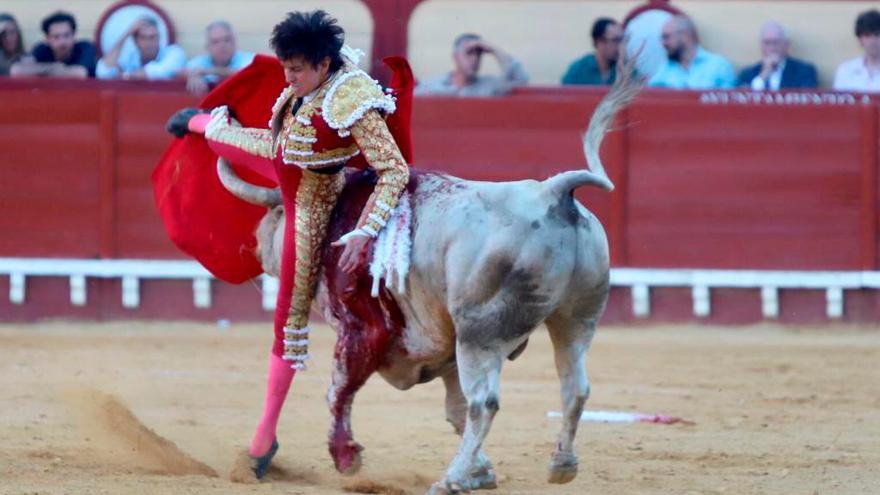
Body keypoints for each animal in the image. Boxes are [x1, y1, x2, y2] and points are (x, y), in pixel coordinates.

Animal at [213, 57, 640, 492]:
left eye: (276, 213)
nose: (255, 245)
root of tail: (550, 192)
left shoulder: (360, 329)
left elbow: (339, 390)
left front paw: (346, 456)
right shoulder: (443, 346)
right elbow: (453, 408)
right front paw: (482, 472)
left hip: (480, 334)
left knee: (485, 402)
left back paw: (451, 478)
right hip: (576, 318)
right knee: (574, 388)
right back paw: (561, 464)